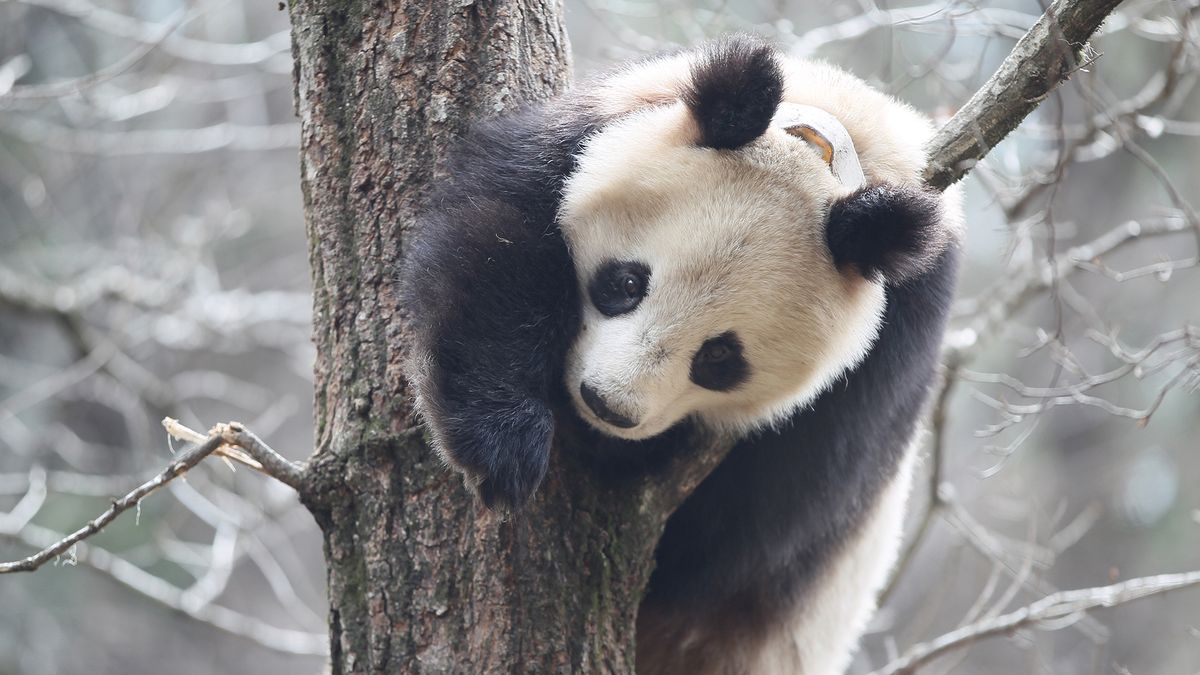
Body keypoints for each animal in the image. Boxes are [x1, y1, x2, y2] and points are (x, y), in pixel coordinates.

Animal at [403, 35, 964, 672]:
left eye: (720, 359)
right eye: (625, 282)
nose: (607, 405)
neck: (840, 139)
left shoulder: (884, 367)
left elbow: (734, 538)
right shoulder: (593, 128)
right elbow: (496, 243)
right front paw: (504, 445)